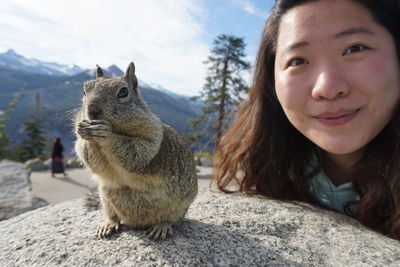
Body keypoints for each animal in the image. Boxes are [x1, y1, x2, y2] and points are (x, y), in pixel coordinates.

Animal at [74, 62, 198, 241]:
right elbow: (89, 158)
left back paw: (161, 227)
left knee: (172, 220)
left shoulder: (151, 140)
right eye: (85, 90)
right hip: (106, 199)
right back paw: (108, 225)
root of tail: (137, 223)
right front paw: (84, 132)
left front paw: (106, 134)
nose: (92, 109)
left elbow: (135, 154)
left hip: (179, 208)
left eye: (123, 92)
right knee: (113, 216)